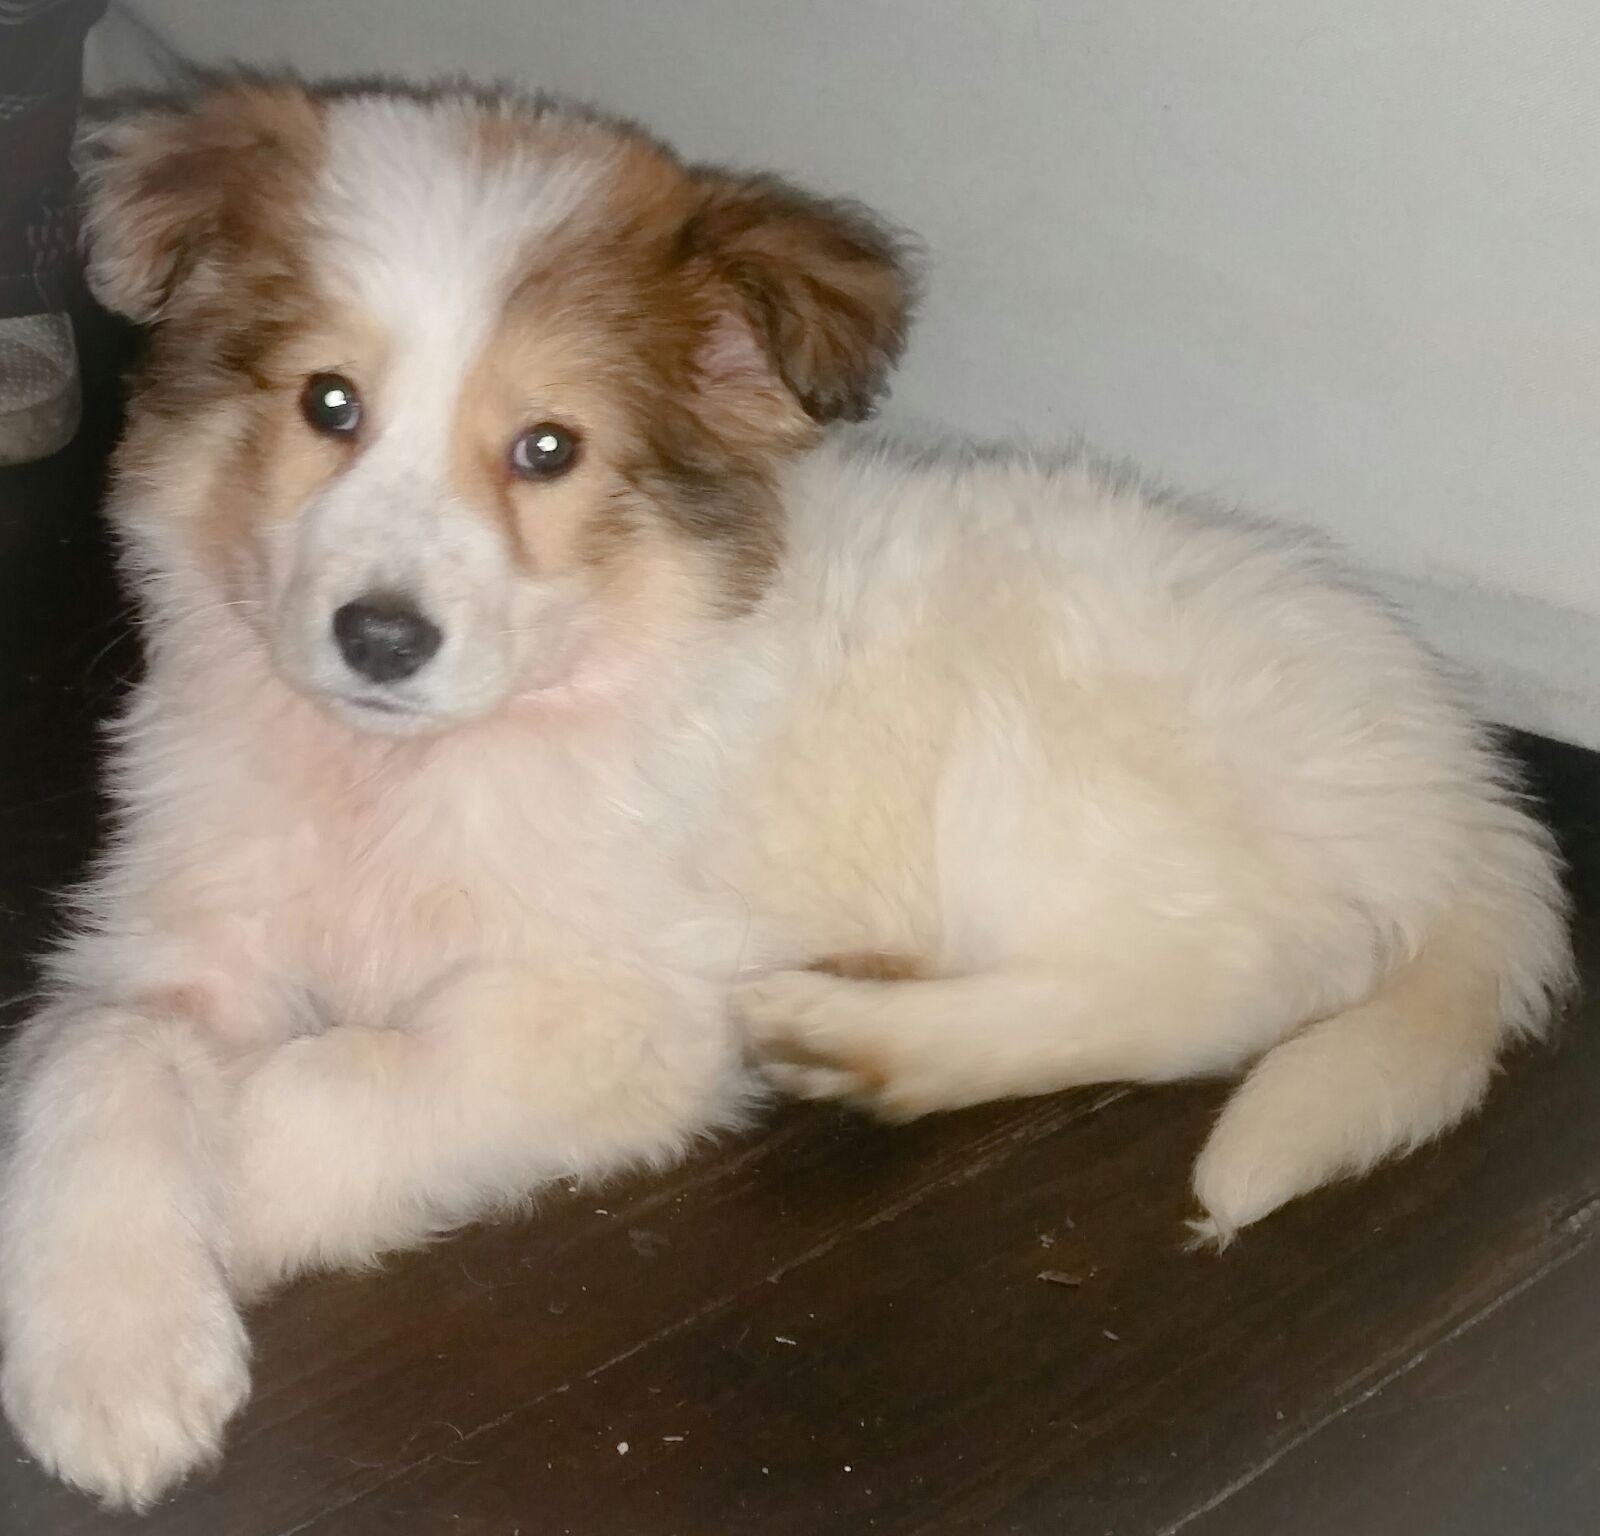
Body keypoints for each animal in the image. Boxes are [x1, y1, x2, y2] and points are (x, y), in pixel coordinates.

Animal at [0, 77, 1572, 1509]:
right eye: (326, 403)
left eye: (548, 448)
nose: (379, 640)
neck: (401, 771)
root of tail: (1461, 778)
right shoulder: (173, 938)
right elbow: (102, 1055)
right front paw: (110, 1344)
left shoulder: (616, 1015)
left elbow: (339, 1083)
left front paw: (227, 1215)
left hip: (1054, 780)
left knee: (1213, 989)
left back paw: (856, 1038)